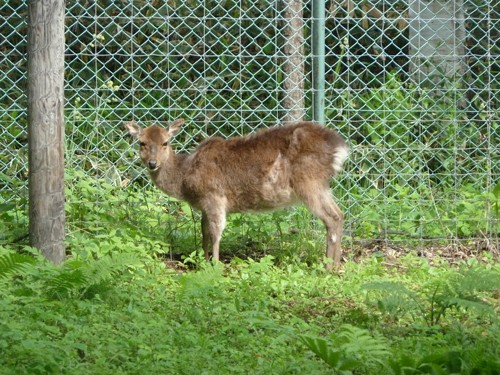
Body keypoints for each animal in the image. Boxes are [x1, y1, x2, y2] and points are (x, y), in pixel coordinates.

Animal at [125, 120, 350, 270]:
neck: (185, 180)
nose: (152, 163)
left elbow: (216, 232)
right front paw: (203, 261)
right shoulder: (204, 205)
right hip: (321, 185)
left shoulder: (214, 196)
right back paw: (335, 267)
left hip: (309, 182)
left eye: (165, 143)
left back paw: (328, 267)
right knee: (339, 214)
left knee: (331, 217)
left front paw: (215, 265)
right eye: (141, 143)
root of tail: (340, 149)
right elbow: (203, 231)